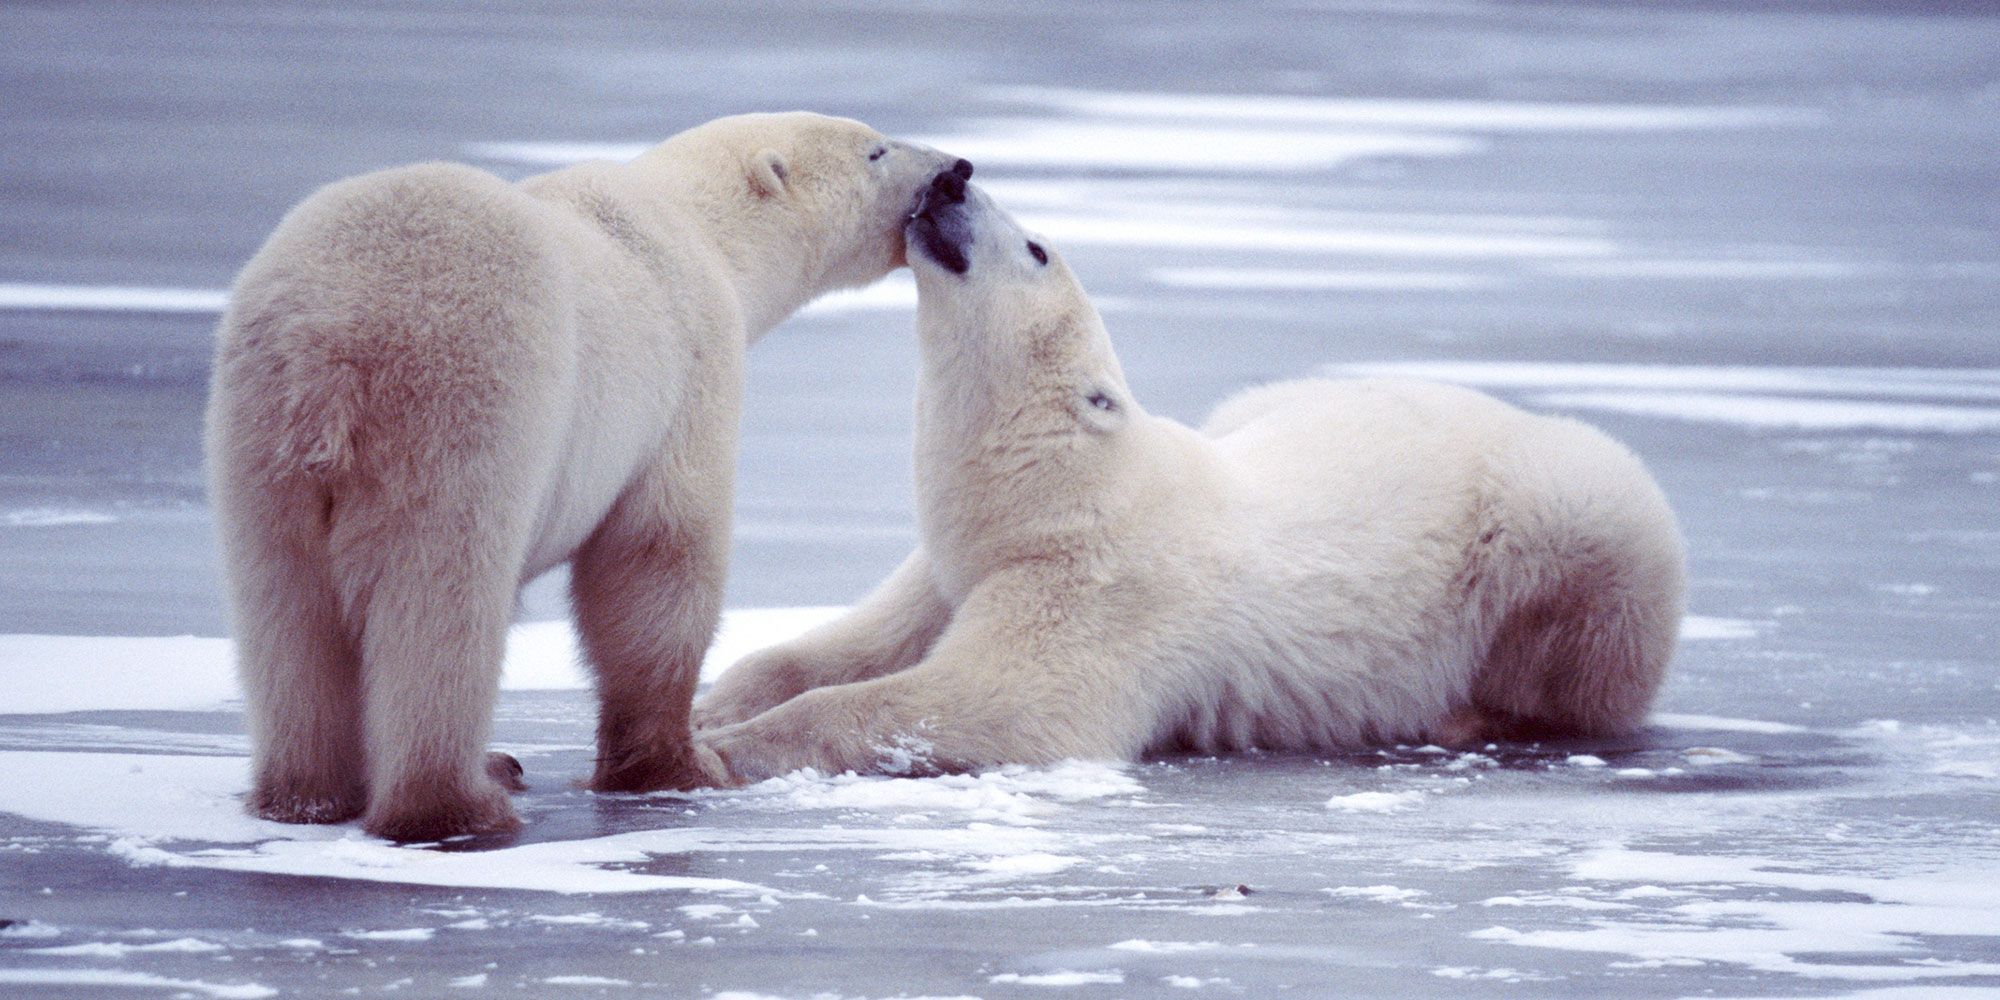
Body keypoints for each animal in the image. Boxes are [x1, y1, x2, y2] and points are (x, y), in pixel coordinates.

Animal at [207, 113, 972, 840]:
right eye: (875, 150)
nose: (955, 171)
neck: (698, 227)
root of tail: (332, 348)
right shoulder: (688, 368)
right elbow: (656, 558)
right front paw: (682, 764)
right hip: (466, 410)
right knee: (441, 604)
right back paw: (459, 801)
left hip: (261, 440)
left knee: (286, 615)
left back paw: (306, 794)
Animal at [696, 184, 1680, 784]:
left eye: (1038, 247)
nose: (952, 181)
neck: (1061, 493)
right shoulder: (958, 564)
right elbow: (851, 643)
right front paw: (718, 700)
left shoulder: (1100, 592)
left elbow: (996, 705)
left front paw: (726, 747)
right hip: (1271, 401)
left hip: (1580, 514)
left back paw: (1467, 716)